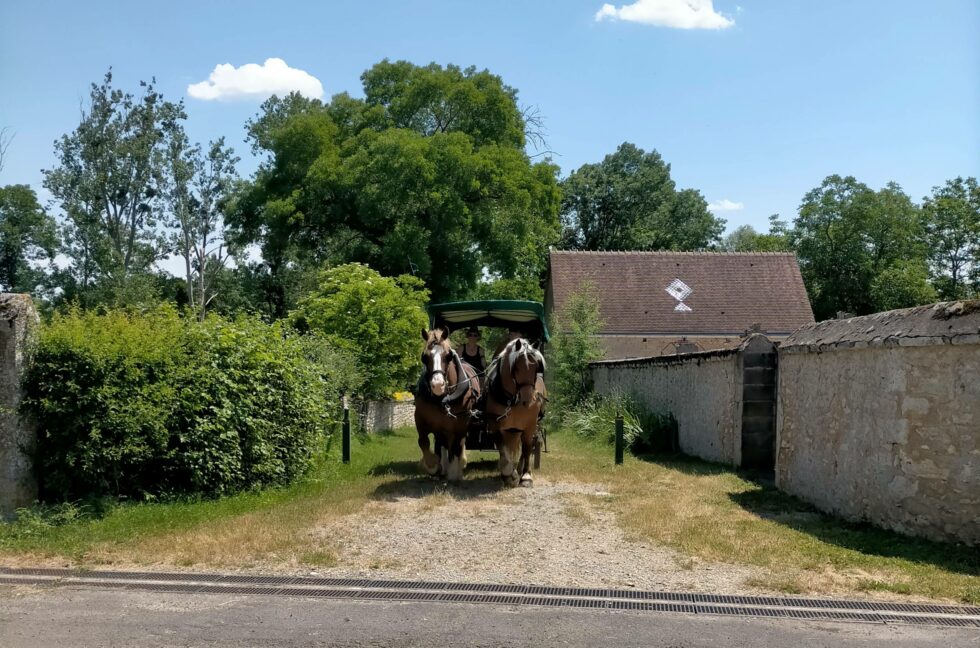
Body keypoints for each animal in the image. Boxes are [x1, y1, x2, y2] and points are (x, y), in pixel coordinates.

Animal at [414, 327, 482, 482]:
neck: (443, 399)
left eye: (448, 356)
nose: (437, 385)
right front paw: (433, 465)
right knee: (444, 444)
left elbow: (456, 447)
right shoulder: (421, 420)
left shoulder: (460, 423)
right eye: (424, 357)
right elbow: (423, 442)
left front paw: (453, 472)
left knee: (457, 444)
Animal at [483, 338, 547, 487]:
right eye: (516, 367)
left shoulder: (530, 425)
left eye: (536, 367)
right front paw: (508, 474)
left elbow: (527, 448)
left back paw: (520, 469)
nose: (529, 398)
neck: (513, 400)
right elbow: (503, 449)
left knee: (526, 447)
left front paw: (526, 476)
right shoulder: (495, 425)